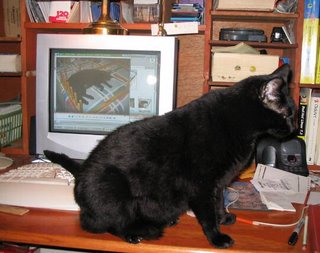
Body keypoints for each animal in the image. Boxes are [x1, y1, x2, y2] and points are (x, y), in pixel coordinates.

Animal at [44, 63, 296, 249]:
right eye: (286, 114)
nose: (294, 129)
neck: (236, 122)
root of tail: (81, 171)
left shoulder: (218, 184)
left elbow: (218, 204)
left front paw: (224, 218)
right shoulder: (201, 187)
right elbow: (207, 215)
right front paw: (217, 237)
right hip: (112, 192)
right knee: (101, 223)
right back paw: (135, 233)